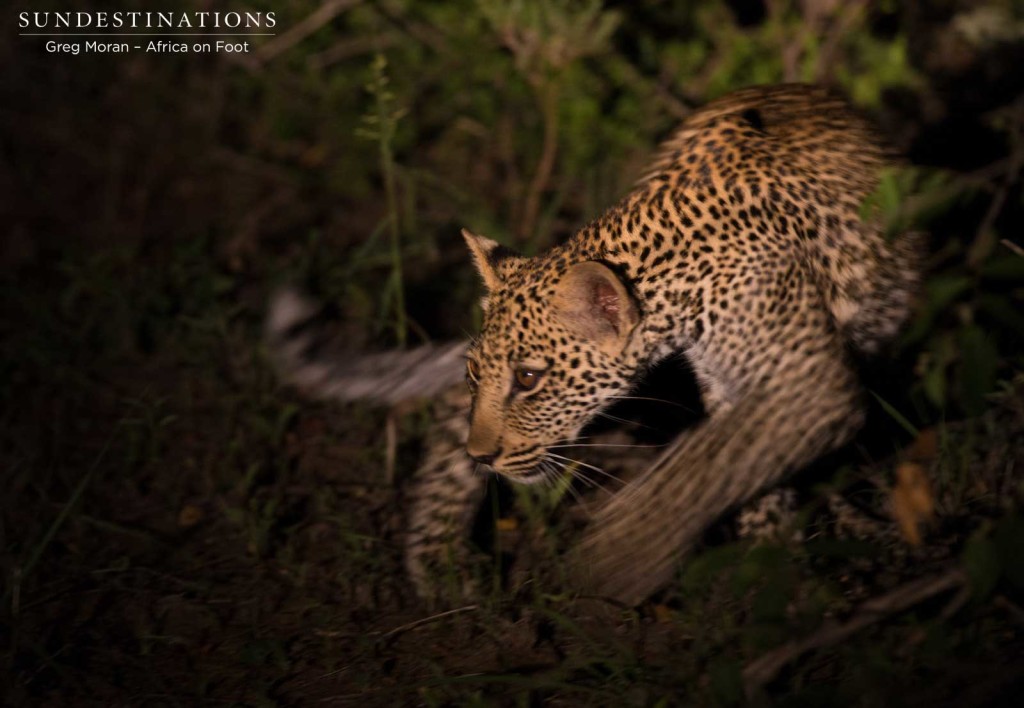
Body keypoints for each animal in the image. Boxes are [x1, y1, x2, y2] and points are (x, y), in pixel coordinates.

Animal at [268, 81, 925, 602]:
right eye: (478, 375)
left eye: (529, 379)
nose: (482, 457)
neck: (679, 279)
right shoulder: (733, 382)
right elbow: (731, 462)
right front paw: (769, 561)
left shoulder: (805, 380)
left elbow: (715, 460)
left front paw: (621, 557)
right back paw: (442, 560)